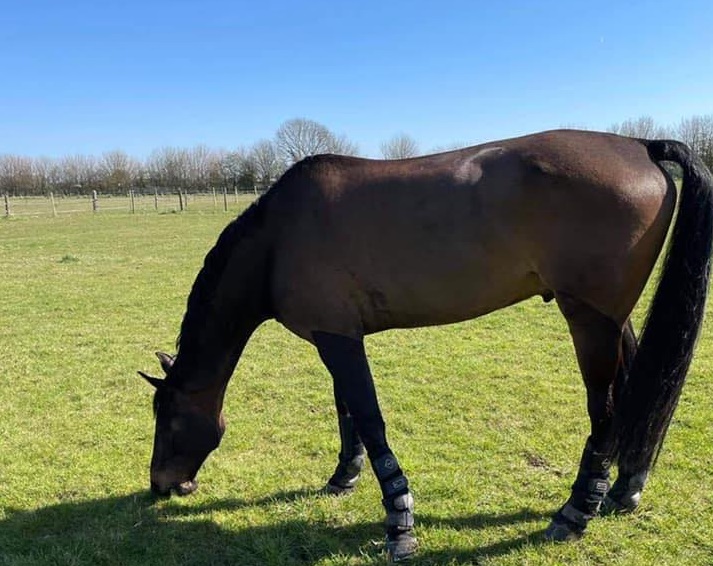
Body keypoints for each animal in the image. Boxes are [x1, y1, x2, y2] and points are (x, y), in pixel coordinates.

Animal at [139, 131, 712, 560]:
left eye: (168, 419)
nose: (161, 485)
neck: (279, 239)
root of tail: (641, 145)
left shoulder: (338, 339)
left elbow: (370, 420)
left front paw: (399, 522)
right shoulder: (337, 336)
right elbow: (347, 412)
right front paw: (343, 477)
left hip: (589, 322)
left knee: (606, 410)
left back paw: (574, 513)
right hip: (612, 318)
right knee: (636, 393)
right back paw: (625, 487)